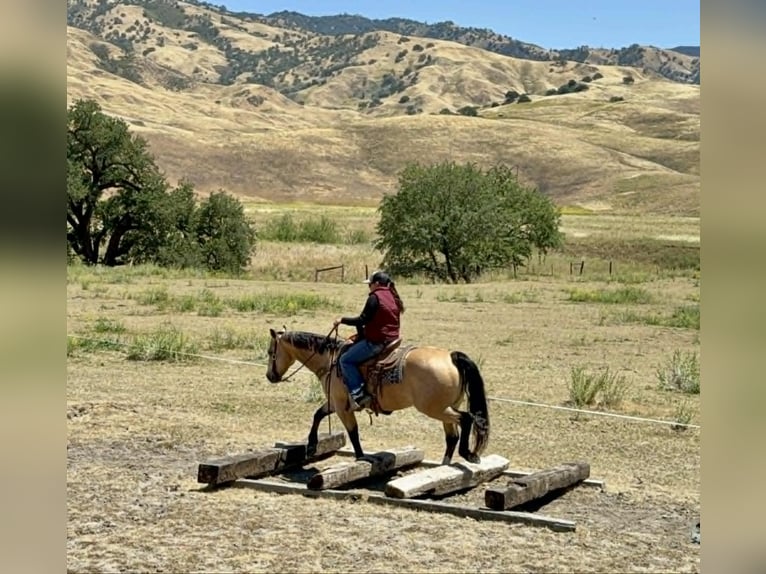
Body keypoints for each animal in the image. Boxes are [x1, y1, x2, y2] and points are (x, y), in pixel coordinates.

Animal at [265, 328, 490, 465]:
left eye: (270, 352)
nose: (270, 376)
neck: (330, 360)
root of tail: (451, 356)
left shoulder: (341, 407)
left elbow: (353, 432)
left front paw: (361, 457)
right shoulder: (335, 403)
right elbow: (318, 415)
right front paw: (311, 446)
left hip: (436, 409)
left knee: (466, 419)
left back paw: (468, 454)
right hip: (446, 408)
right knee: (452, 436)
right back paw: (444, 465)